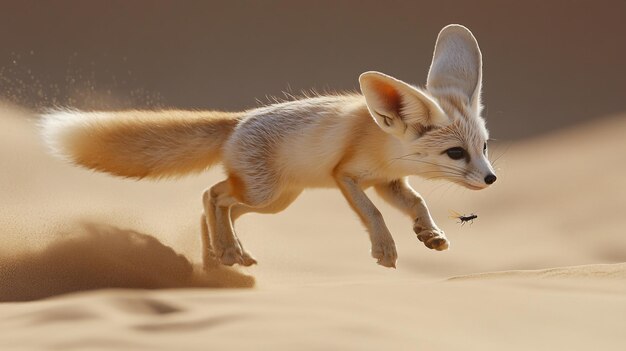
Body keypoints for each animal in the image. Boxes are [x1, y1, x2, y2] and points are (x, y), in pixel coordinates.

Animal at [41, 24, 494, 270]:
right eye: (456, 154)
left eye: (485, 146)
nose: (491, 178)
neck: (382, 145)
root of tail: (238, 119)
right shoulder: (346, 176)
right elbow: (374, 214)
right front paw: (384, 248)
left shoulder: (387, 181)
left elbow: (417, 202)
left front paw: (429, 233)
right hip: (265, 194)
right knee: (211, 195)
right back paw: (225, 252)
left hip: (276, 201)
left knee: (215, 206)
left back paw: (221, 257)